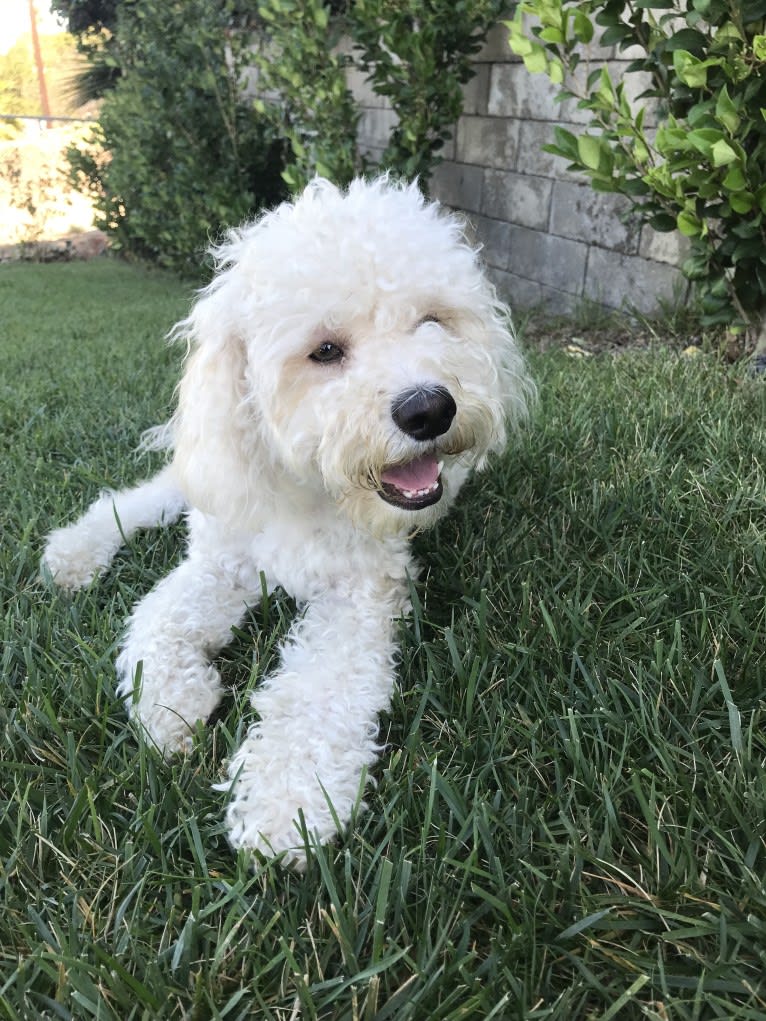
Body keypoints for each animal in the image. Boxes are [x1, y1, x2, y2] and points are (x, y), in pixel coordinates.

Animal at [41, 175, 535, 861]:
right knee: (139, 498)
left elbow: (315, 695)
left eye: (432, 321)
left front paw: (289, 802)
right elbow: (157, 620)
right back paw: (75, 553)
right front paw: (172, 706)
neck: (308, 493)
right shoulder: (220, 559)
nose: (429, 409)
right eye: (324, 350)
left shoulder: (358, 595)